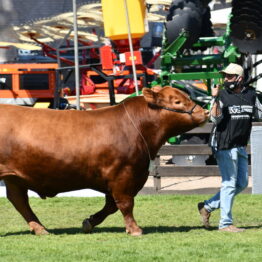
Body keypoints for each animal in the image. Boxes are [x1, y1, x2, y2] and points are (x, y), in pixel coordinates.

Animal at [0, 86, 209, 235]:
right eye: (177, 101)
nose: (205, 113)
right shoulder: (123, 174)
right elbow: (125, 203)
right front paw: (134, 229)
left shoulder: (121, 177)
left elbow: (111, 206)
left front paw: (89, 222)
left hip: (14, 178)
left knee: (19, 200)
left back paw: (41, 229)